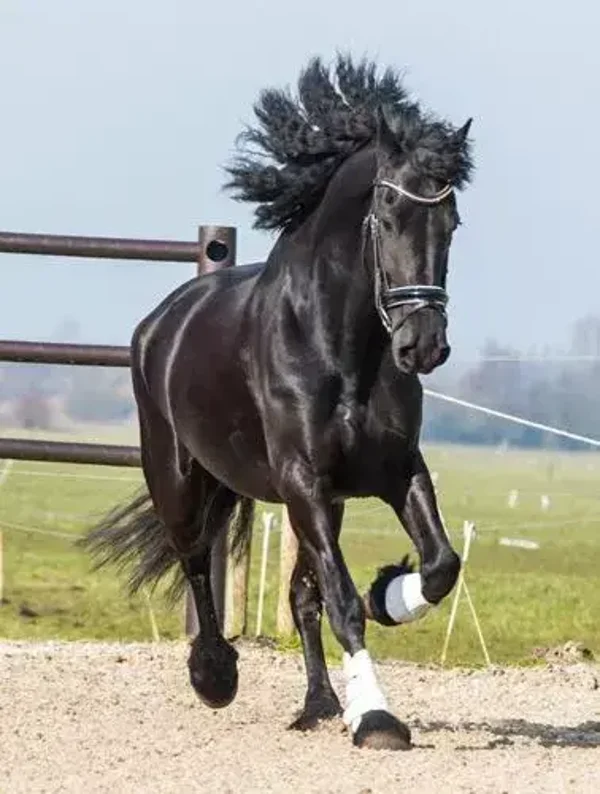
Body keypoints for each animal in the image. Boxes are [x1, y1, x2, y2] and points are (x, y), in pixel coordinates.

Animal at [79, 53, 474, 751]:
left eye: (450, 223)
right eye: (388, 215)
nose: (423, 345)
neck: (338, 345)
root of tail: (161, 322)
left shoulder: (394, 471)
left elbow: (438, 566)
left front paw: (387, 595)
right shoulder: (302, 481)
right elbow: (342, 601)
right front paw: (377, 718)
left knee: (298, 595)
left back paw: (319, 703)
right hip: (180, 479)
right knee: (194, 558)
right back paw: (215, 674)